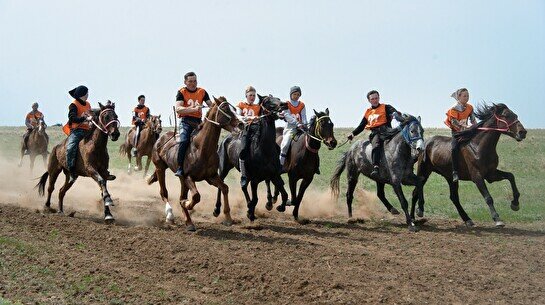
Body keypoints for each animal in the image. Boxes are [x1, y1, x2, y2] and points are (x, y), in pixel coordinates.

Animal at [149, 96, 242, 229]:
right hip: (160, 168)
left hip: (181, 179)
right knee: (164, 193)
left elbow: (225, 188)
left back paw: (188, 222)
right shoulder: (188, 176)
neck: (202, 149)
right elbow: (196, 197)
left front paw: (228, 217)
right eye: (225, 109)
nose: (241, 124)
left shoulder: (211, 177)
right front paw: (187, 204)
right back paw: (170, 215)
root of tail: (161, 138)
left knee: (181, 196)